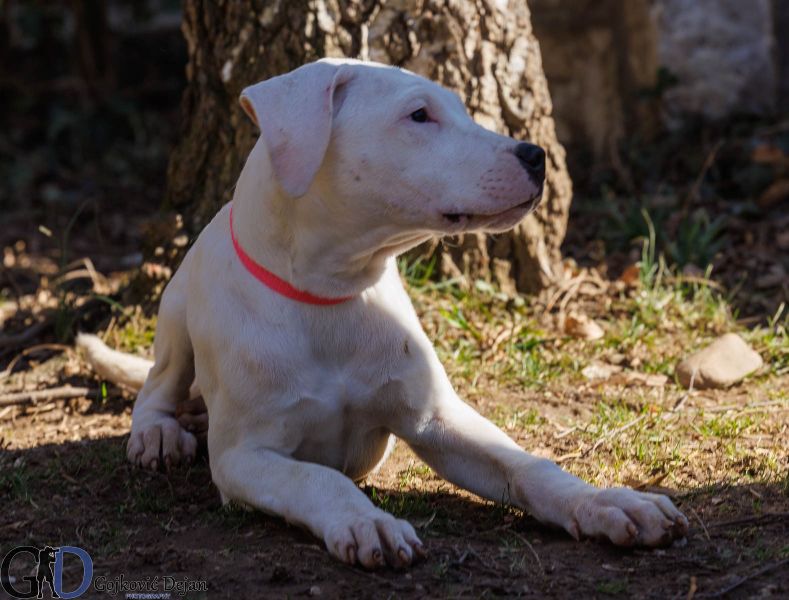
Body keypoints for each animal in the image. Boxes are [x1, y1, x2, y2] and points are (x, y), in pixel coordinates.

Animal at [77, 59, 688, 568]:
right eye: (419, 115)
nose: (535, 155)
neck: (331, 293)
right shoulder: (243, 458)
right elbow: (319, 481)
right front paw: (366, 522)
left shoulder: (438, 418)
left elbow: (528, 465)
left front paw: (607, 503)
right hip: (176, 311)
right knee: (157, 384)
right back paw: (157, 433)